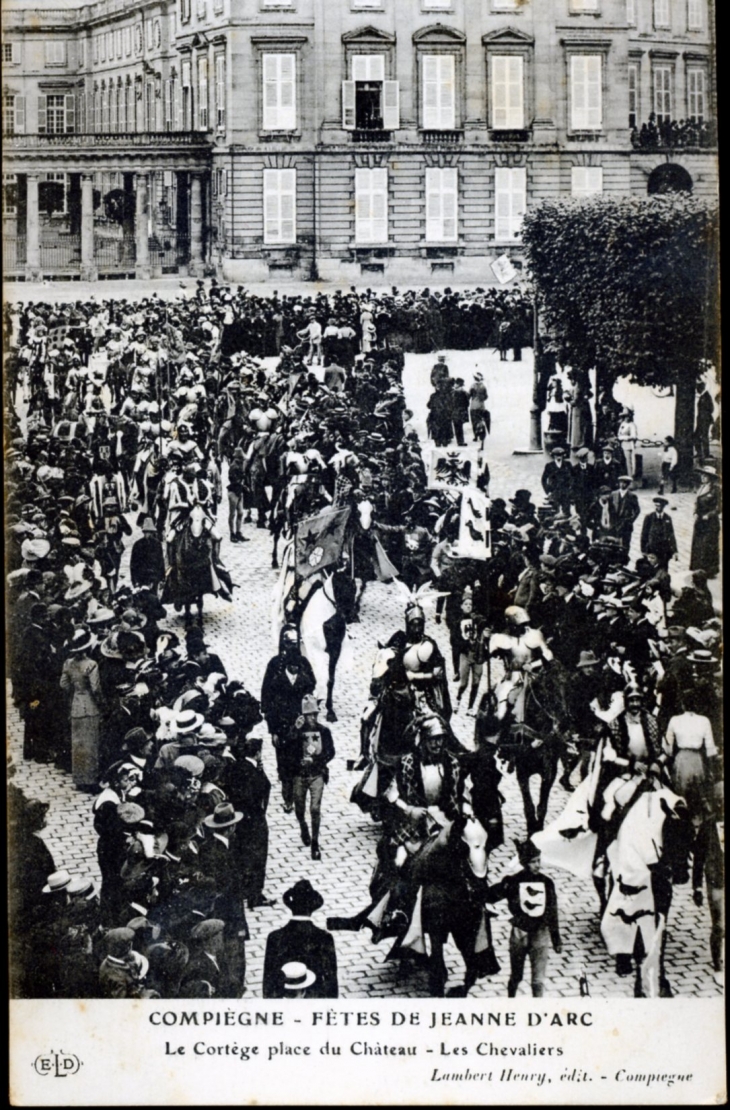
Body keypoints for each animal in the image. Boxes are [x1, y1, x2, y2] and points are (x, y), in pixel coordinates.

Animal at [474, 657, 572, 834]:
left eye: (568, 685)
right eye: (549, 685)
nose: (564, 723)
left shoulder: (549, 772)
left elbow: (542, 807)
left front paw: (537, 830)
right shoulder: (522, 771)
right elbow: (529, 807)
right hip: (484, 747)